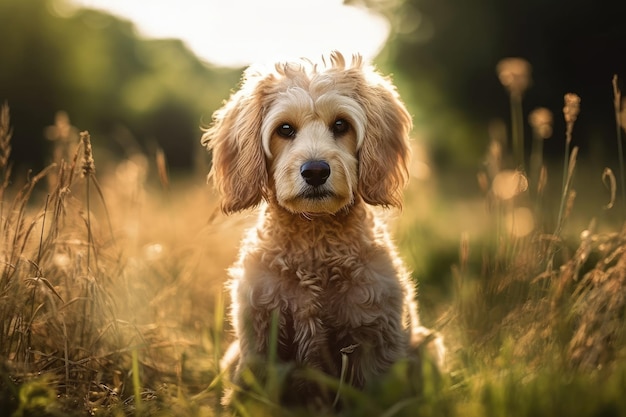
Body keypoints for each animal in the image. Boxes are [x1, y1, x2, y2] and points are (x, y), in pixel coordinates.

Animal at [202, 50, 442, 404]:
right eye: (285, 129)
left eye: (341, 124)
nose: (315, 171)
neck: (315, 245)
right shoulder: (259, 340)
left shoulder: (375, 341)